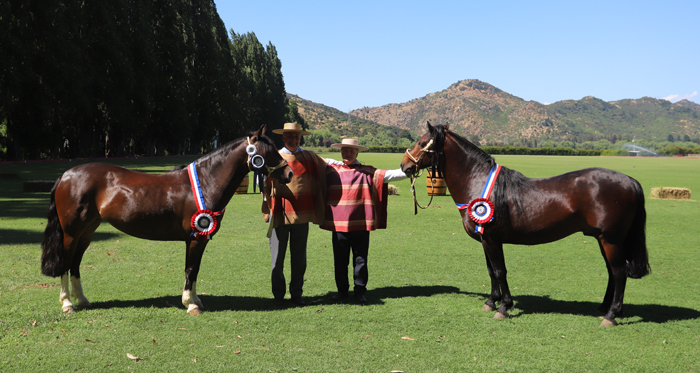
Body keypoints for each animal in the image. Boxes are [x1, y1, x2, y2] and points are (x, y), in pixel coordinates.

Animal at [41, 125, 292, 314]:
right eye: (269, 150)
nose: (289, 173)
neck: (206, 181)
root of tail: (66, 175)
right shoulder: (195, 238)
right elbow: (190, 269)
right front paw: (190, 304)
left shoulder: (200, 238)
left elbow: (195, 269)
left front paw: (196, 300)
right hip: (71, 233)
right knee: (66, 262)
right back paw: (67, 304)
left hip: (87, 231)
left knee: (75, 263)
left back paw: (82, 300)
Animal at [400, 123, 652, 326]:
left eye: (421, 142)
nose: (404, 166)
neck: (478, 181)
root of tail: (630, 181)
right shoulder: (484, 239)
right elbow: (491, 271)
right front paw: (491, 301)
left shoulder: (492, 239)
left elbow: (500, 271)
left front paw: (504, 307)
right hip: (605, 239)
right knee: (612, 272)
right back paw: (603, 309)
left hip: (611, 239)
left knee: (619, 272)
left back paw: (611, 315)